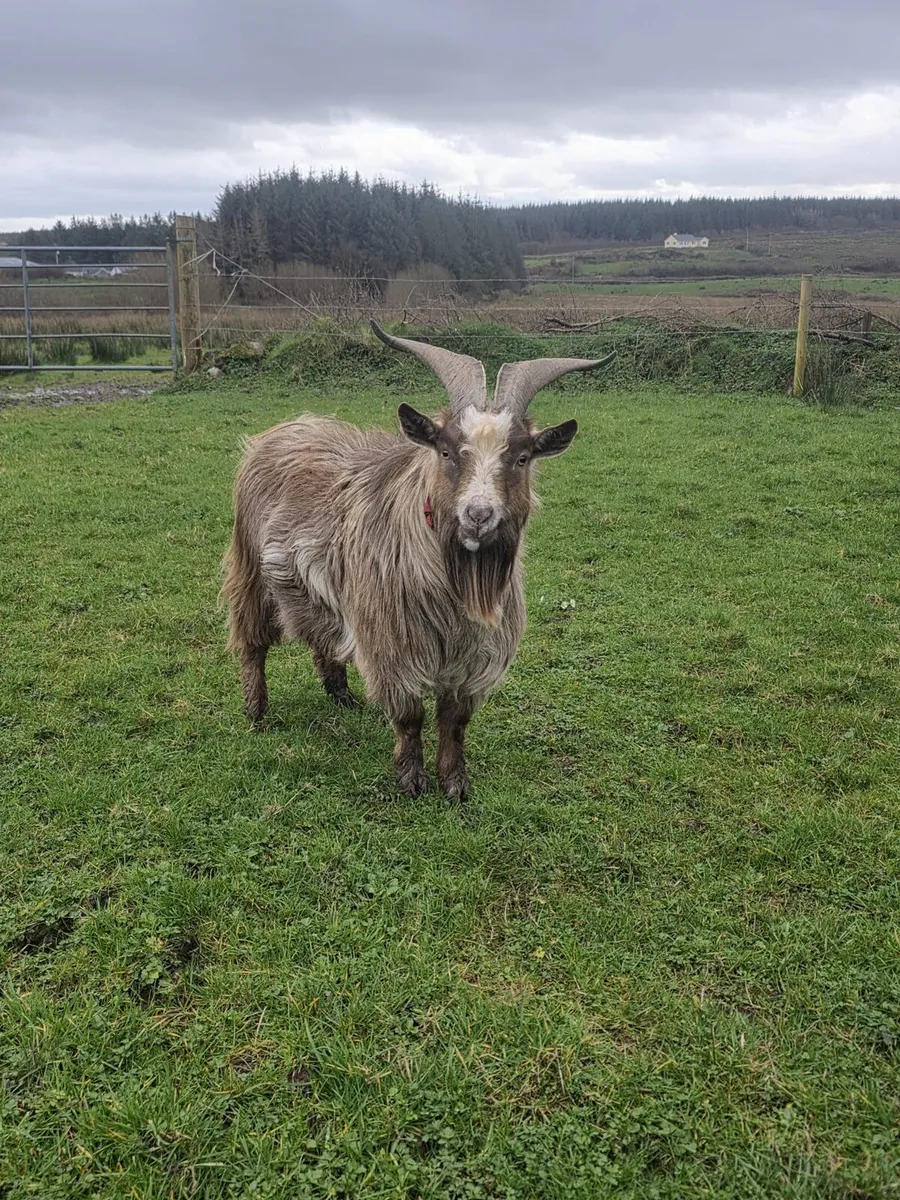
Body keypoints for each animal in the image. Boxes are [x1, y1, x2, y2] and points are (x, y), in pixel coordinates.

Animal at [220, 322, 615, 799]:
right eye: (446, 451)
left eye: (521, 457)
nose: (478, 515)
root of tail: (283, 429)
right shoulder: (393, 644)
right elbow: (410, 718)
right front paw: (411, 780)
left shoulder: (473, 657)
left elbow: (455, 723)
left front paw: (456, 784)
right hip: (250, 569)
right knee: (252, 642)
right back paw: (256, 711)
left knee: (322, 634)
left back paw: (341, 695)